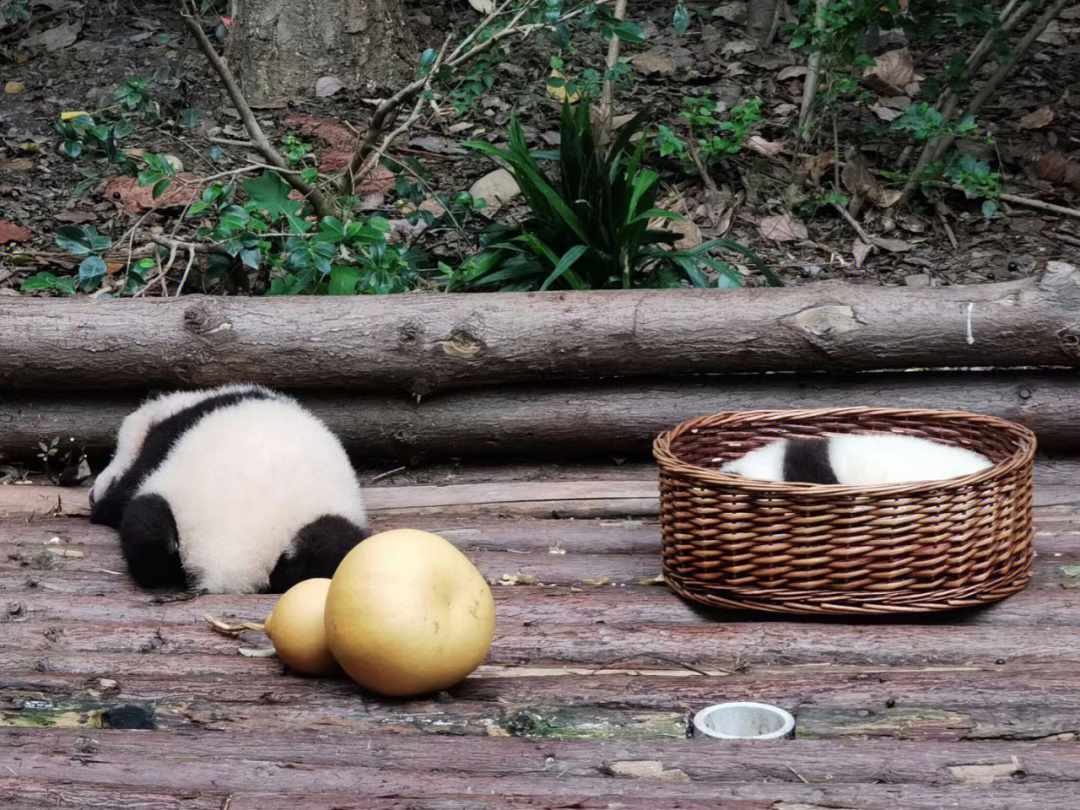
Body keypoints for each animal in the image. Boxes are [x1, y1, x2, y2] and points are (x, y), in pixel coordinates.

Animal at [89, 384, 367, 591]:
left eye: (113, 455)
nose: (92, 494)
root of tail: (227, 565)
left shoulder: (164, 441)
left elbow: (122, 495)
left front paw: (101, 507)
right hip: (321, 529)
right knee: (330, 546)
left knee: (144, 529)